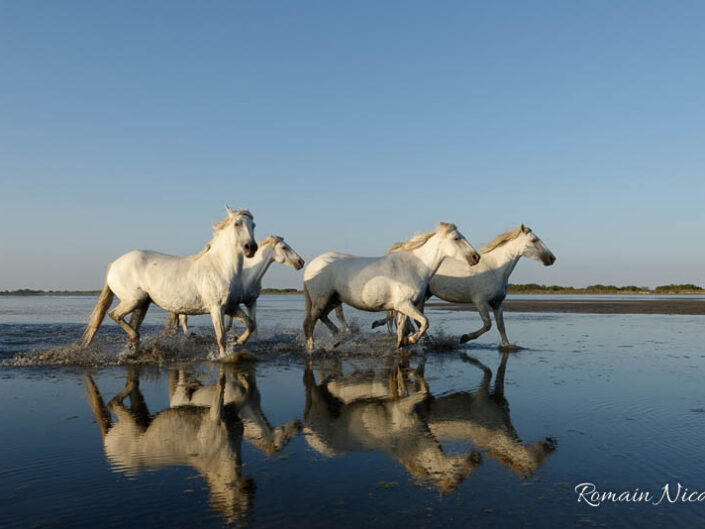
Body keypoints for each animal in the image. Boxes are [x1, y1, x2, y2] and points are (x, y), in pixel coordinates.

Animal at [81, 208, 256, 356]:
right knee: (114, 315)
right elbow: (221, 338)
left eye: (253, 225)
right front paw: (223, 357)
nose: (251, 248)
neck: (220, 266)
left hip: (143, 303)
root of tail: (113, 264)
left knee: (131, 324)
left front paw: (239, 341)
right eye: (237, 224)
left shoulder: (231, 307)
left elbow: (251, 324)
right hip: (133, 300)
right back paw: (136, 338)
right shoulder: (216, 308)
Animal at [166, 234, 304, 342]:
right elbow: (230, 325)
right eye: (284, 247)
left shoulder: (251, 302)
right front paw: (234, 339)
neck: (247, 276)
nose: (301, 262)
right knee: (183, 318)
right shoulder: (231, 303)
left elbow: (253, 324)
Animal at [302, 222, 478, 350]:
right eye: (456, 238)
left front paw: (402, 343)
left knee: (322, 317)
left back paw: (337, 339)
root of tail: (311, 266)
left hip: (333, 299)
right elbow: (425, 322)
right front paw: (411, 340)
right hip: (322, 299)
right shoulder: (404, 304)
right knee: (309, 323)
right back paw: (312, 349)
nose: (476, 257)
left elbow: (403, 330)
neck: (414, 266)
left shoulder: (404, 307)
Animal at [368, 225, 556, 348]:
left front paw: (507, 346)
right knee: (413, 318)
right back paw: (420, 339)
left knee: (411, 317)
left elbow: (501, 326)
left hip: (424, 295)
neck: (496, 268)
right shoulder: (480, 302)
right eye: (534, 240)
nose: (552, 258)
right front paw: (464, 338)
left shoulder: (497, 303)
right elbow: (487, 325)